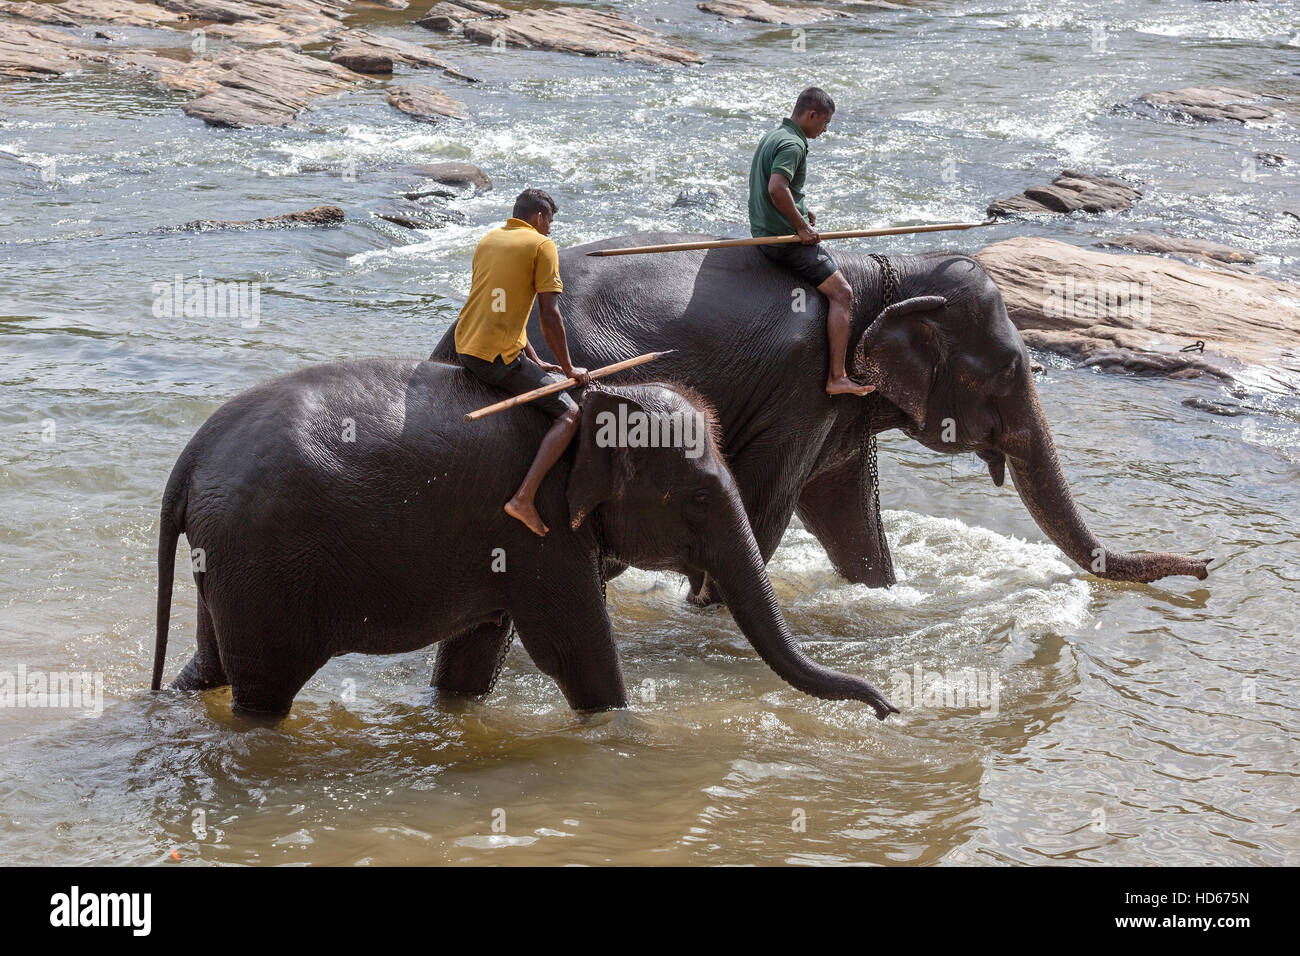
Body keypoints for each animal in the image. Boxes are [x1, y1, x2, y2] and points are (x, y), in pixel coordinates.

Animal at [151, 359, 899, 719]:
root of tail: (189, 460)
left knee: (211, 666)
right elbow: (576, 650)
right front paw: (623, 729)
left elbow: (475, 657)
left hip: (228, 561)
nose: (888, 709)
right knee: (262, 691)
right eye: (694, 498)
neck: (595, 404)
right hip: (263, 563)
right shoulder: (538, 529)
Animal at [428, 235, 1210, 686]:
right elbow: (768, 509)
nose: (1206, 567)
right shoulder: (799, 386)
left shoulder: (840, 406)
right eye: (1010, 371)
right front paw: (707, 611)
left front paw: (882, 593)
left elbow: (849, 515)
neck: (888, 274)